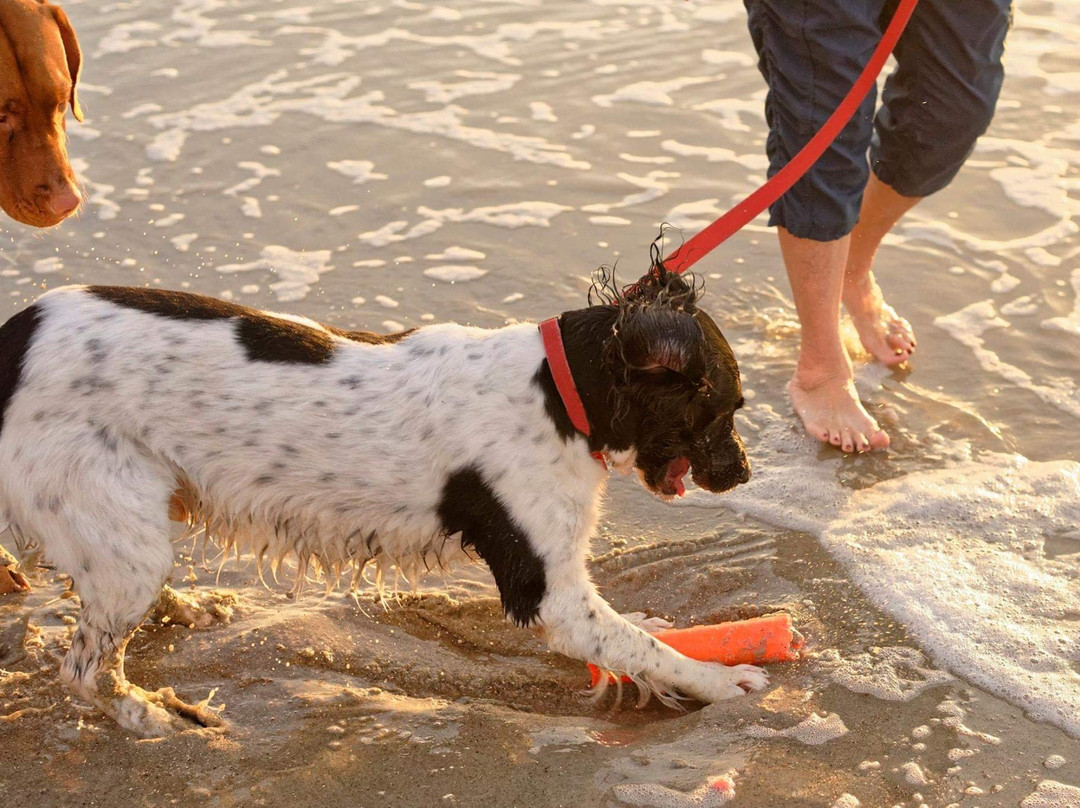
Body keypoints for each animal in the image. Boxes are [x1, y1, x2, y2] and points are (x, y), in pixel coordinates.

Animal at [0, 262, 764, 734]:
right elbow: (640, 647)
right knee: (83, 671)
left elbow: (635, 633)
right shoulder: (547, 590)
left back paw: (189, 609)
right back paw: (155, 716)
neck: (558, 392)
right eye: (726, 408)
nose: (746, 472)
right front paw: (723, 682)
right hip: (115, 525)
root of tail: (14, 339)